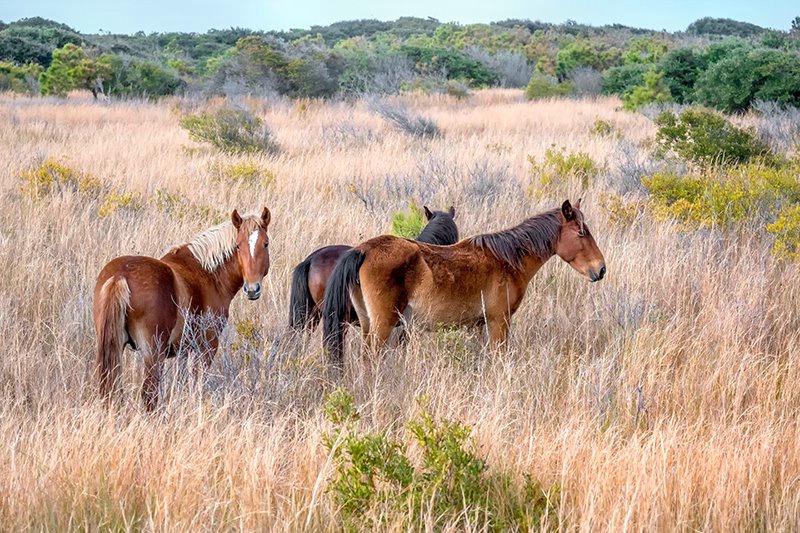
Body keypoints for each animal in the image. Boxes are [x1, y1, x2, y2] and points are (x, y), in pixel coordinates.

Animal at [94, 206, 272, 410]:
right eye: (238, 246)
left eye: (265, 244)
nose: (252, 289)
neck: (208, 272)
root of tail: (120, 276)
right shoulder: (207, 347)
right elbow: (198, 383)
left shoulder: (183, 351)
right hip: (152, 354)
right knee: (149, 395)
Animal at [324, 197, 608, 368]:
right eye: (581, 232)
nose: (601, 269)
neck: (507, 259)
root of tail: (362, 250)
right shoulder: (499, 322)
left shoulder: (479, 326)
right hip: (383, 326)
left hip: (367, 324)